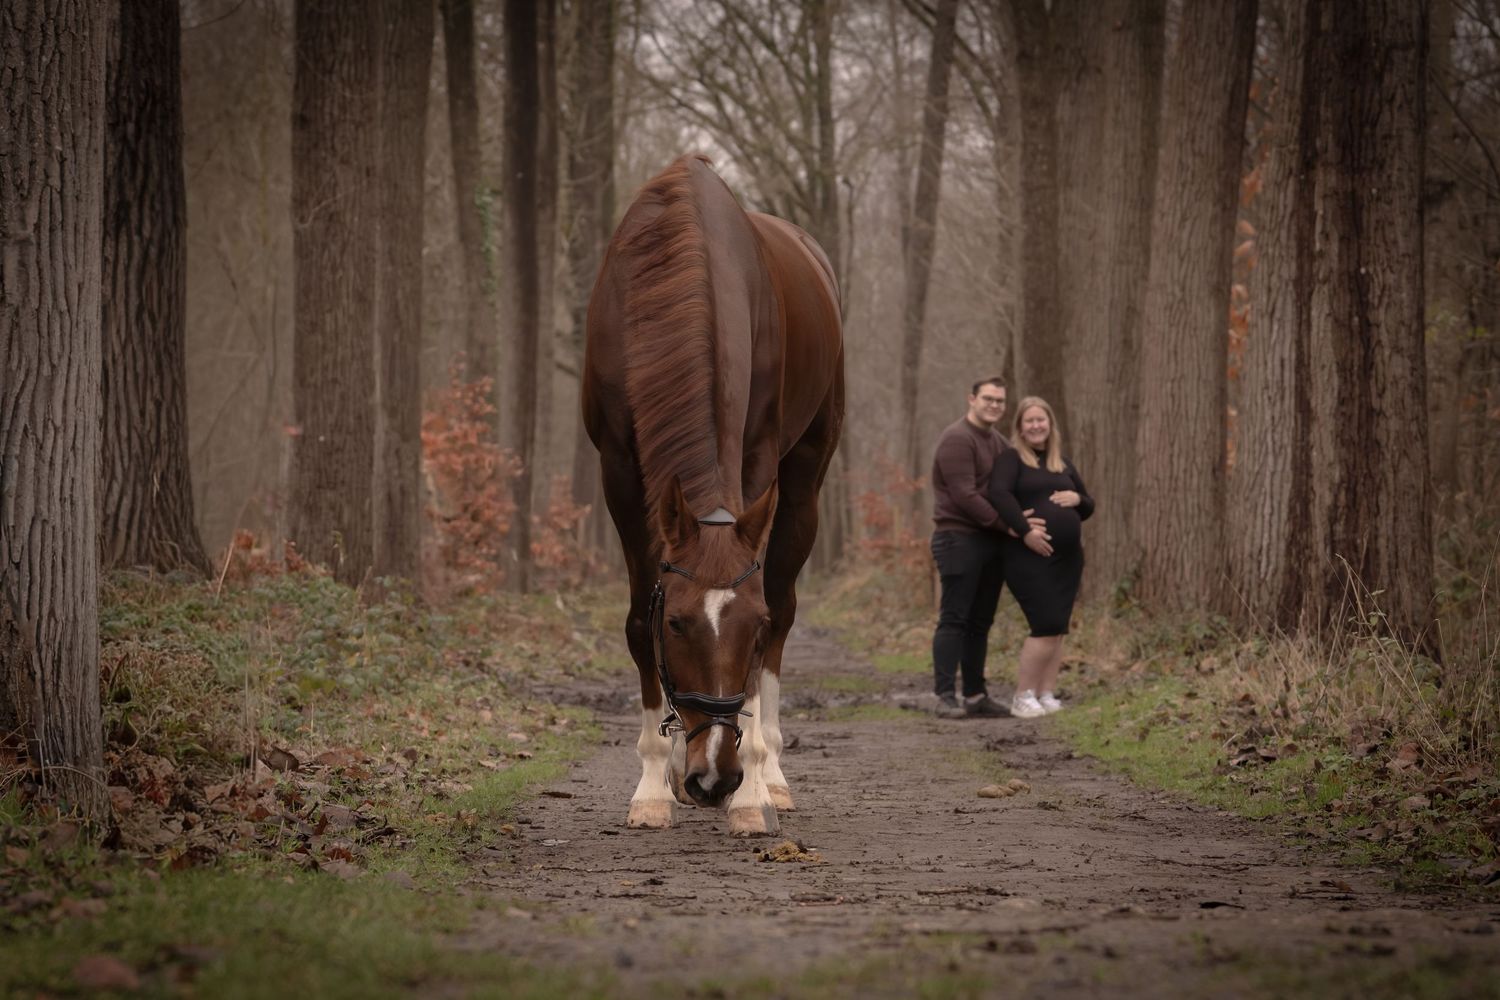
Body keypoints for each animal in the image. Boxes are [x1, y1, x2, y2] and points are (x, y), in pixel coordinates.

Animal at [582, 155, 844, 836]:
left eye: (752, 627)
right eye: (675, 623)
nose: (714, 779)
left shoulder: (756, 460)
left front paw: (749, 792)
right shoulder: (618, 470)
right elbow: (634, 619)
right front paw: (654, 784)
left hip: (803, 481)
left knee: (788, 601)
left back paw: (767, 774)